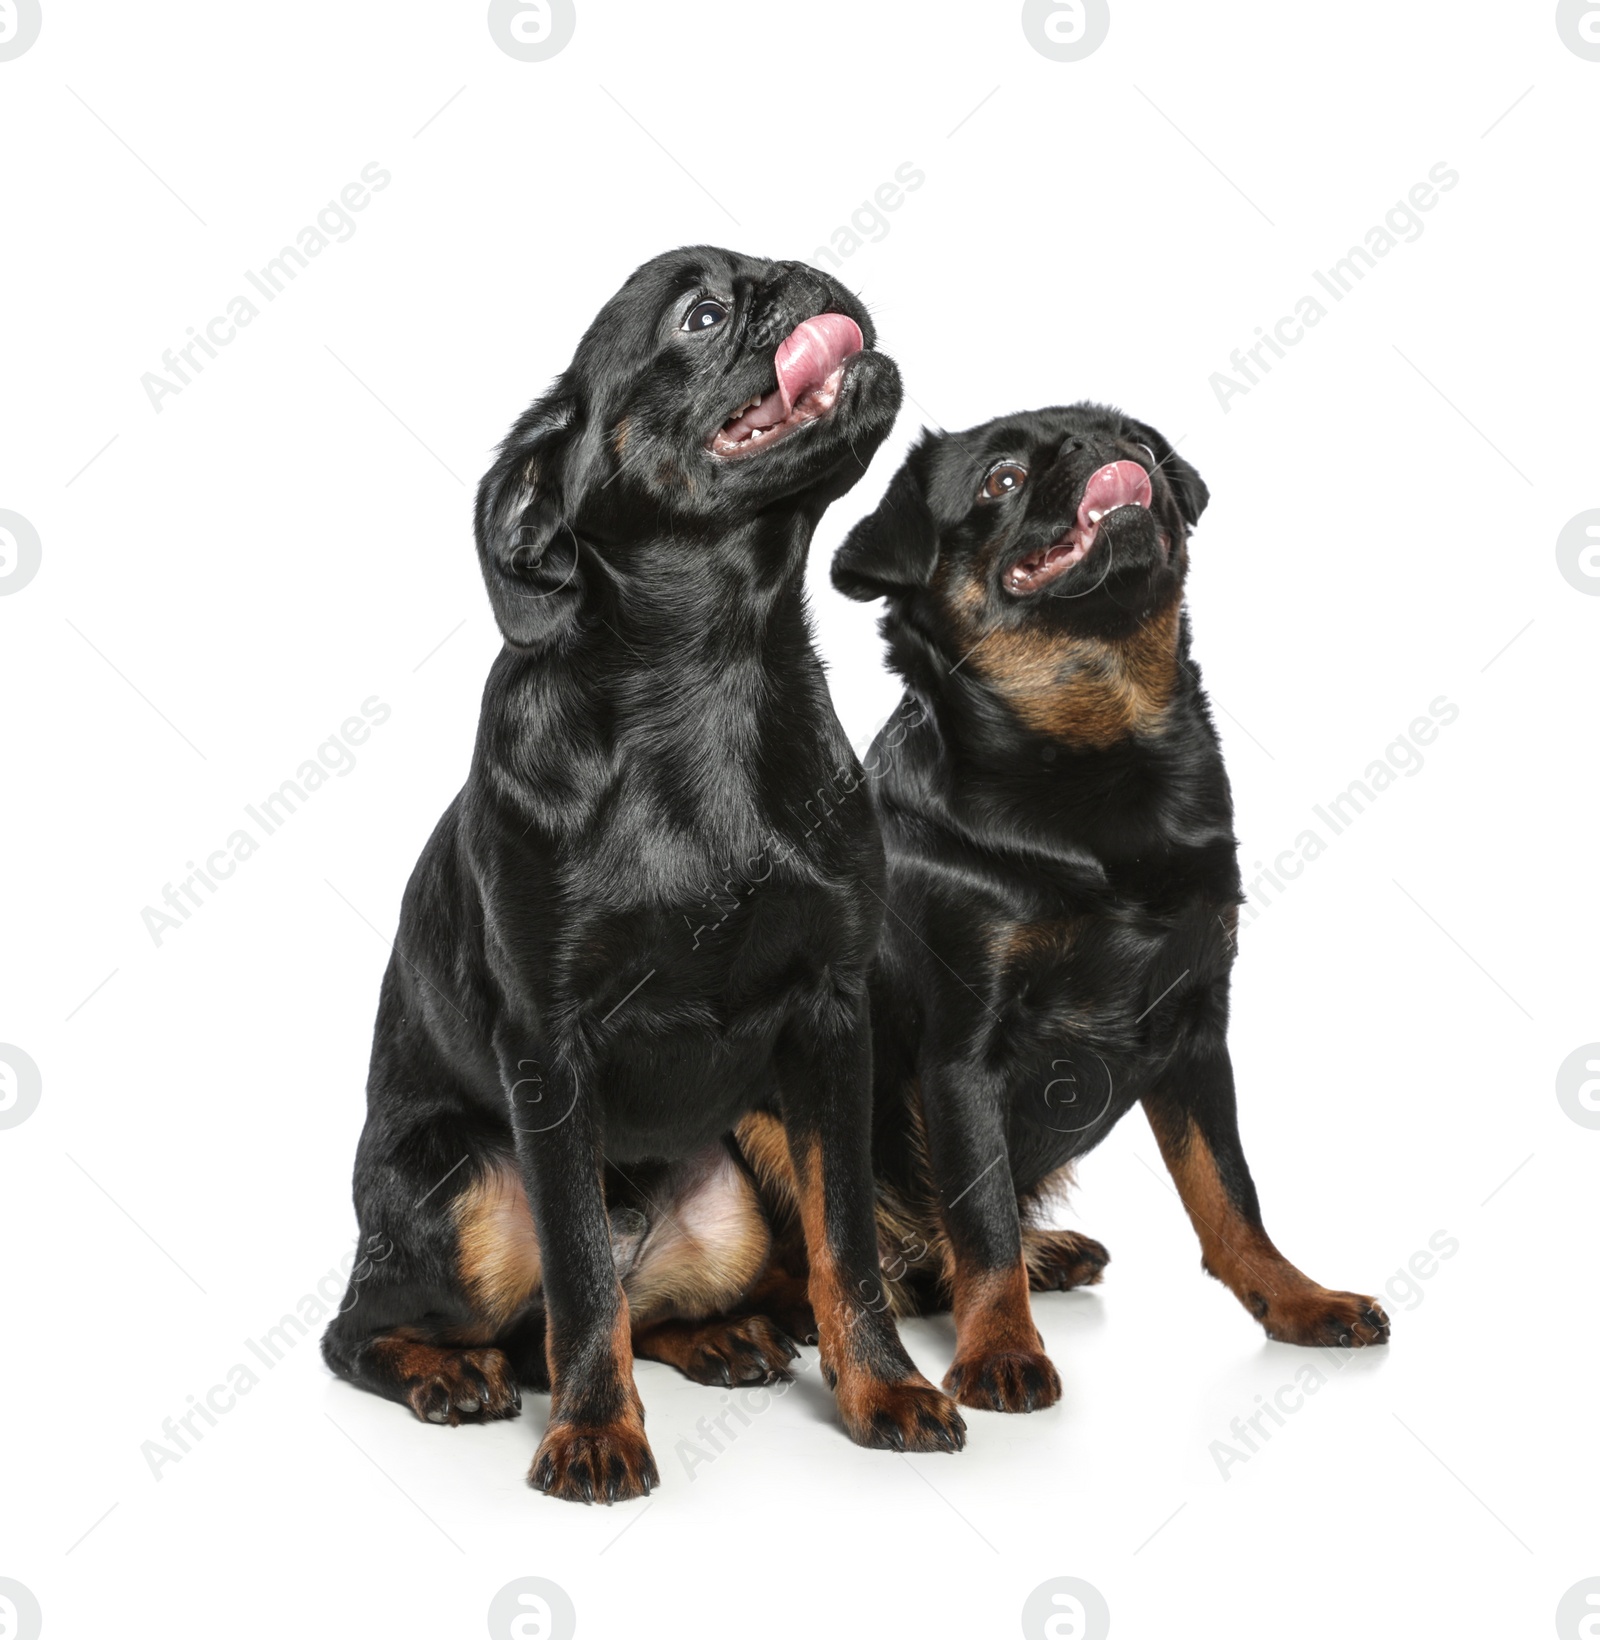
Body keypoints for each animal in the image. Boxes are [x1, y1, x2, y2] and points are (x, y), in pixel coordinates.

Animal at [316, 249, 963, 1502]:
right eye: (701, 316)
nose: (803, 278)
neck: (709, 674)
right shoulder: (548, 1043)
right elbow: (578, 1271)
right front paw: (593, 1430)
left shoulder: (830, 1016)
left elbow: (848, 1241)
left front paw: (881, 1387)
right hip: (462, 1188)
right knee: (379, 1324)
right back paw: (450, 1372)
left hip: (746, 1168)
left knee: (665, 1296)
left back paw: (721, 1335)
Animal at [813, 406, 1390, 1410]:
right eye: (1002, 479)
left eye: (1143, 442)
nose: (1102, 449)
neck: (1098, 746)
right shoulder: (962, 1055)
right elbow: (983, 1218)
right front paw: (1001, 1348)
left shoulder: (1197, 1026)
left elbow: (1229, 1189)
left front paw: (1293, 1299)